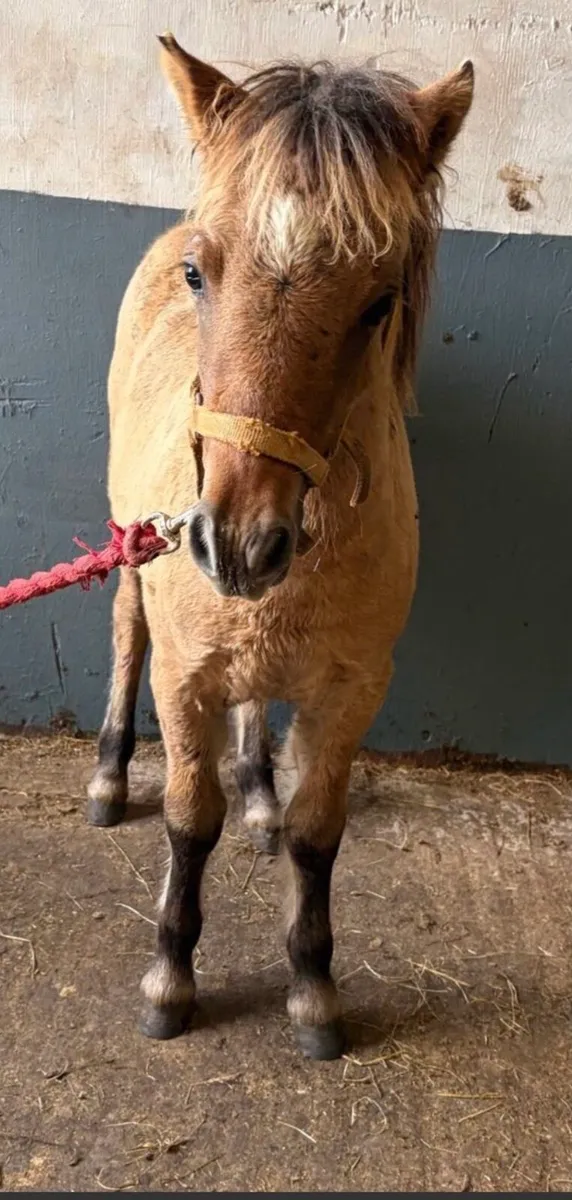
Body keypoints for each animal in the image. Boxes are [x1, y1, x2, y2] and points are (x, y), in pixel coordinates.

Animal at [87, 36, 473, 1060]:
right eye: (199, 274)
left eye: (379, 302)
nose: (236, 542)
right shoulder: (183, 674)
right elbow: (190, 819)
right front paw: (171, 979)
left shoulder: (353, 689)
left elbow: (315, 831)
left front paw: (312, 987)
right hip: (130, 557)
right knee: (125, 634)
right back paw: (108, 772)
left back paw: (258, 785)